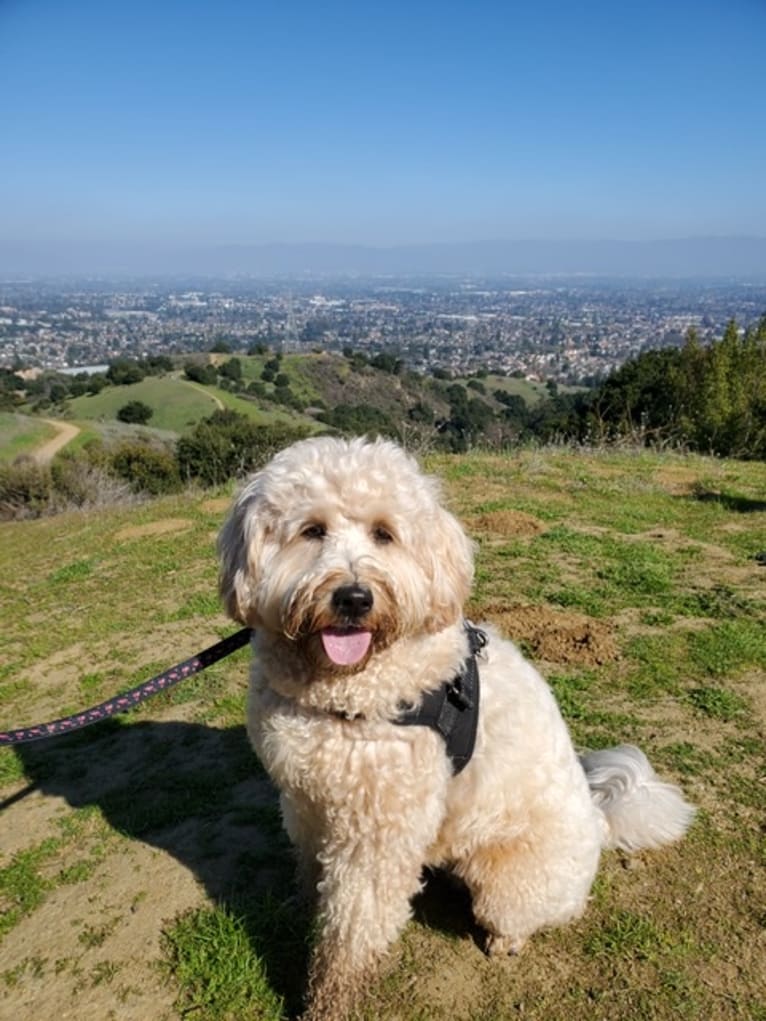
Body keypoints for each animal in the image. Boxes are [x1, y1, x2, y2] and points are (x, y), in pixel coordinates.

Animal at [217, 434, 694, 1016]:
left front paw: (331, 1000)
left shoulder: (379, 832)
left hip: (510, 883)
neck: (346, 686)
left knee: (532, 913)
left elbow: (352, 932)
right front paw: (305, 907)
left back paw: (506, 939)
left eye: (384, 533)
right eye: (311, 530)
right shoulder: (306, 797)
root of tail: (600, 825)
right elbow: (311, 869)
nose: (354, 597)